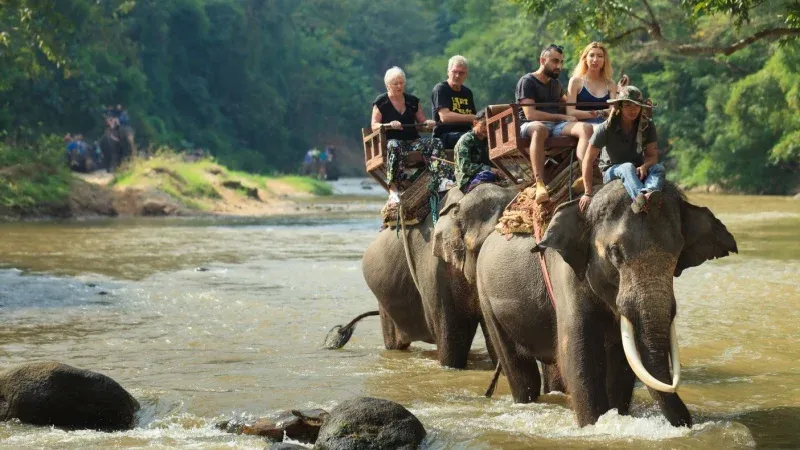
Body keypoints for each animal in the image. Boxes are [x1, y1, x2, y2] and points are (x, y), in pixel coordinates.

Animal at [471, 180, 736, 427]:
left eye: (678, 252)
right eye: (615, 252)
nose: (687, 422)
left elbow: (623, 363)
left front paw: (616, 414)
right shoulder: (566, 275)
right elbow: (578, 354)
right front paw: (593, 425)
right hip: (485, 295)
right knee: (520, 371)